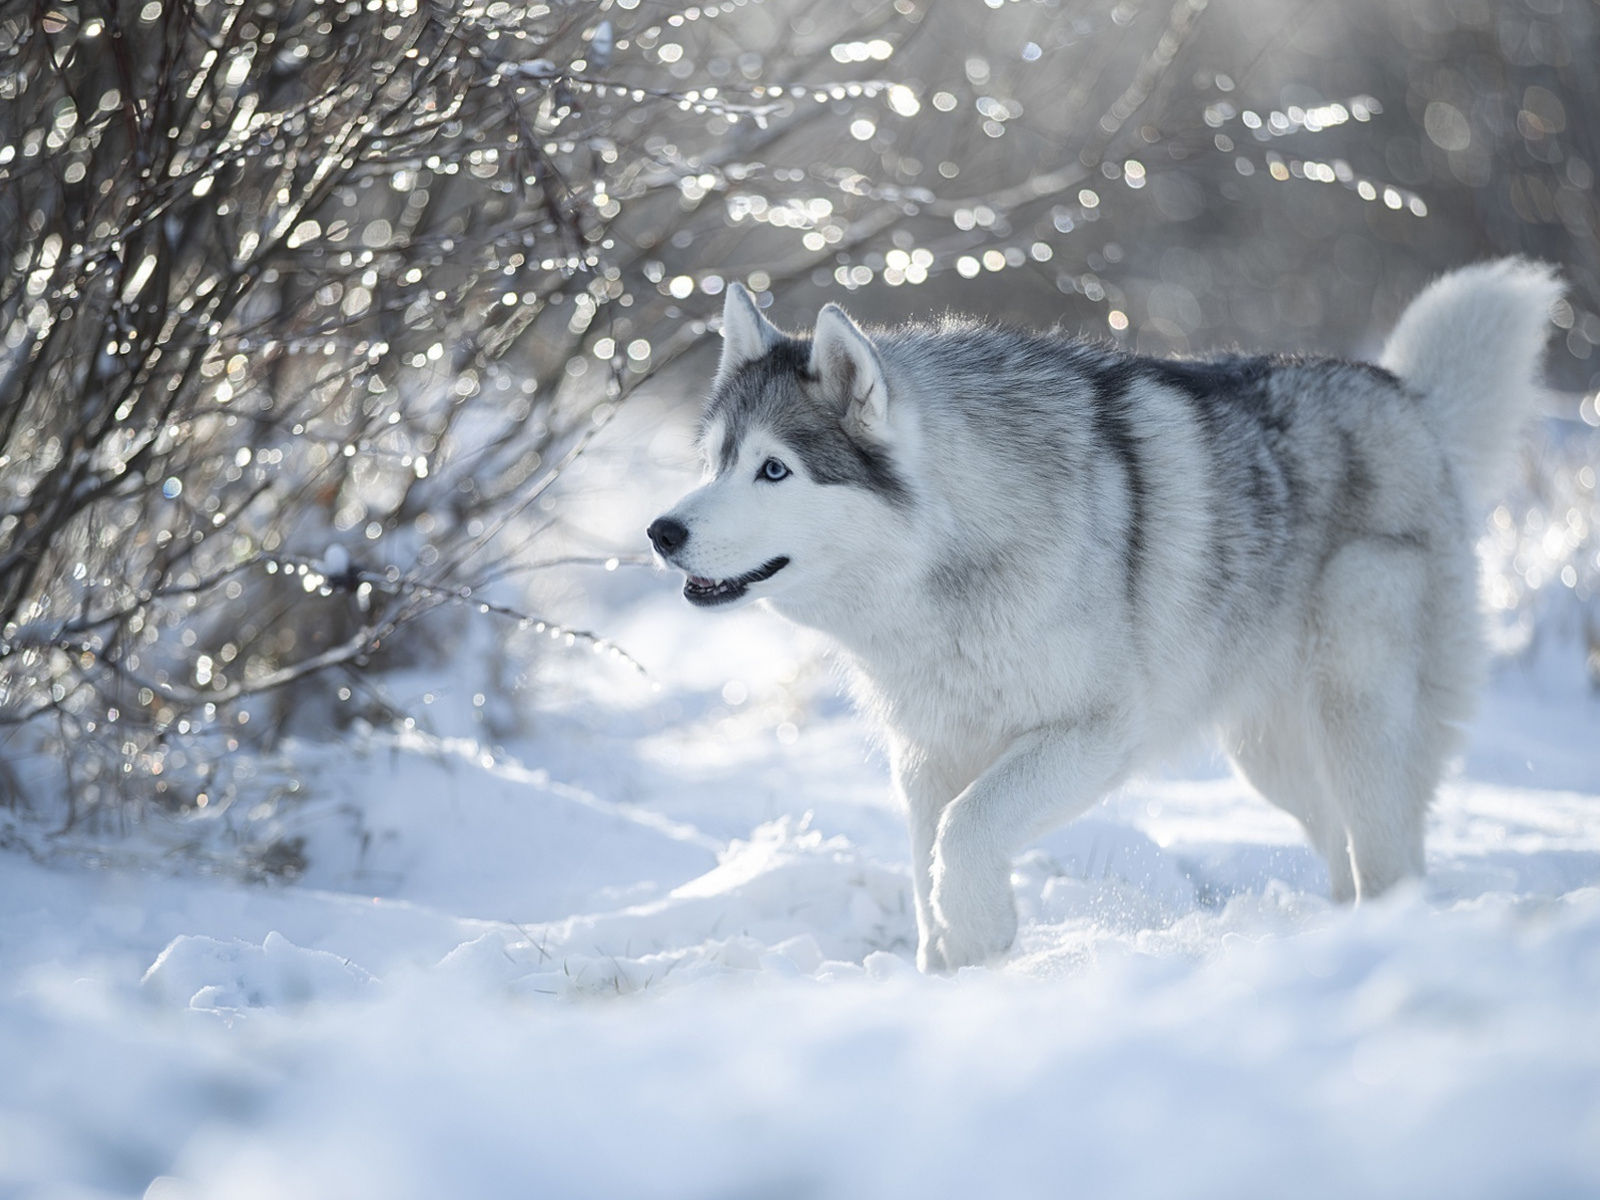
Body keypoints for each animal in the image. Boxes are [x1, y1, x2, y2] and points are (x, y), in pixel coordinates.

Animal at [643, 259, 1555, 972]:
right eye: (715, 461)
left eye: (774, 470)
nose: (661, 532)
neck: (954, 556)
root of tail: (1410, 399)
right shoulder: (928, 755)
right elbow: (928, 858)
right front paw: (950, 972)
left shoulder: (1094, 734)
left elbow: (965, 835)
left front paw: (983, 936)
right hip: (1271, 757)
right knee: (1344, 850)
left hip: (1351, 714)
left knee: (1389, 858)